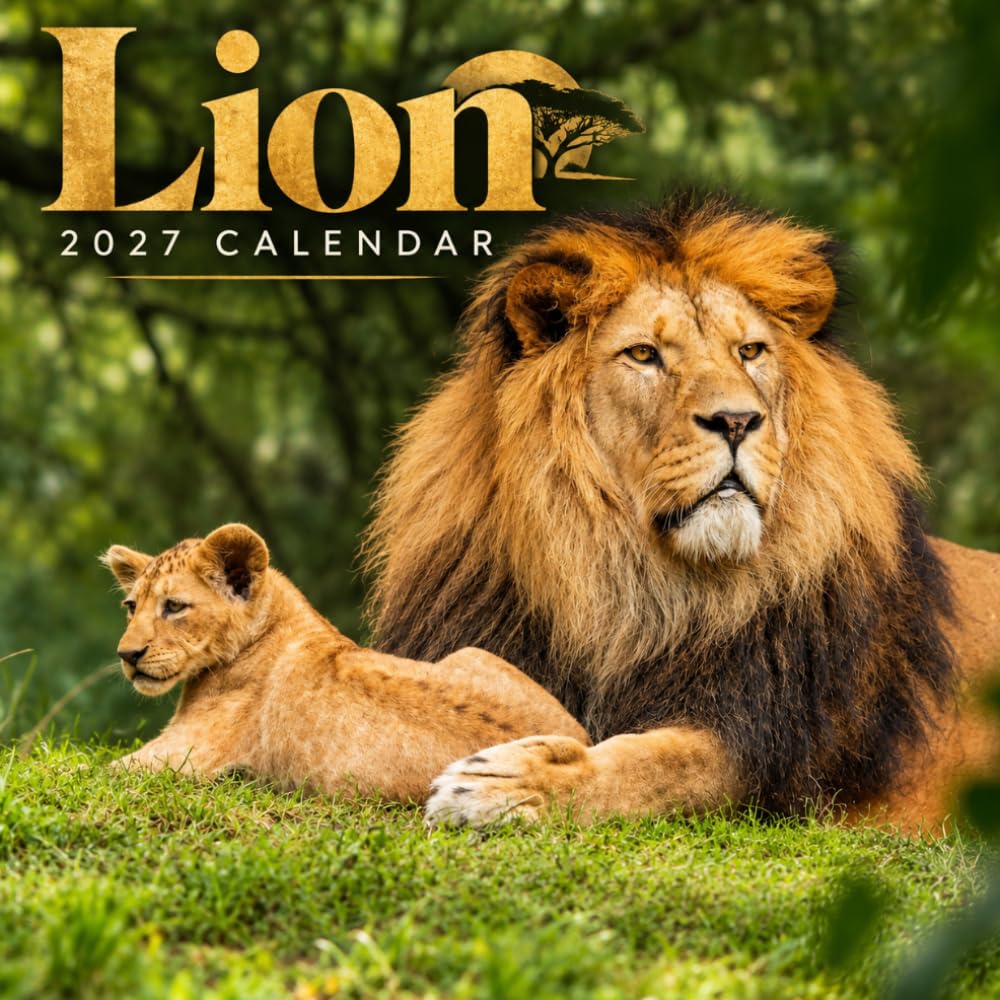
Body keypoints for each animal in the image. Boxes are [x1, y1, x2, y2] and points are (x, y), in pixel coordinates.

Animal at [101, 523, 587, 800]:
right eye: (131, 606)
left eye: (174, 607)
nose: (127, 655)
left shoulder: (180, 758)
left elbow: (98, 770)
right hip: (470, 651)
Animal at [365, 192, 1000, 832]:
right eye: (644, 354)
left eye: (750, 351)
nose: (738, 421)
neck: (637, 591)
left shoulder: (768, 750)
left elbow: (651, 764)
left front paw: (512, 785)